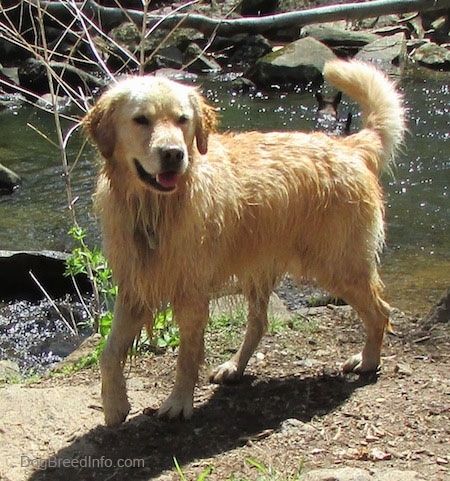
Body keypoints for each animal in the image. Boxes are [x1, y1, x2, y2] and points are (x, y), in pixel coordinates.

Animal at [83, 59, 404, 424]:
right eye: (141, 120)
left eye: (182, 120)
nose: (174, 154)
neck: (156, 208)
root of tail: (350, 147)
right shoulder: (134, 286)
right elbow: (109, 351)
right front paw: (114, 404)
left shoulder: (191, 294)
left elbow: (187, 356)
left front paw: (178, 402)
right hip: (261, 269)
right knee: (259, 323)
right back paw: (235, 367)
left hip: (338, 265)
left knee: (380, 311)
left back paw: (368, 361)